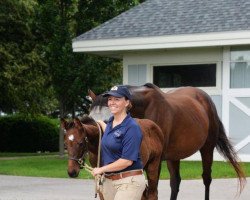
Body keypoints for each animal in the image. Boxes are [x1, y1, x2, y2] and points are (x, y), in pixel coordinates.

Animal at [88, 82, 246, 200]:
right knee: (175, 182)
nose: (95, 159)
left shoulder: (155, 161)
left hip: (207, 148)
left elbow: (151, 191)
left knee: (206, 178)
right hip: (173, 156)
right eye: (89, 119)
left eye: (108, 120)